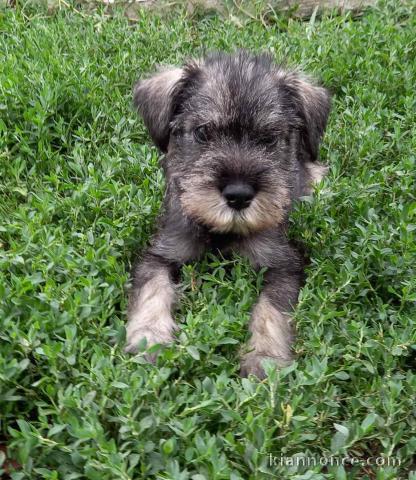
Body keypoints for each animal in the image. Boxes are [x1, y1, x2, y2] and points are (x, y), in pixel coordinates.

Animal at [125, 49, 330, 378]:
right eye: (203, 132)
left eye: (269, 138)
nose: (238, 195)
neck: (221, 232)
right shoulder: (161, 252)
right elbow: (153, 288)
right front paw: (149, 337)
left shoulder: (283, 264)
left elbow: (271, 309)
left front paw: (265, 357)